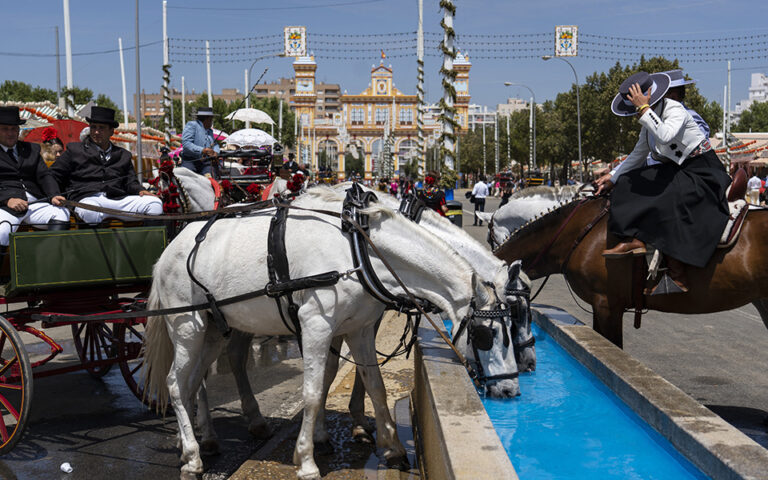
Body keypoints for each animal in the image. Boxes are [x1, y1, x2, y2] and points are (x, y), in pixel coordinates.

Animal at [143, 188, 516, 480]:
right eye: (485, 335)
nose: (510, 389)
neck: (361, 248)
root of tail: (167, 251)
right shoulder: (316, 326)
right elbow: (312, 391)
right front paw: (307, 458)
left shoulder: (360, 328)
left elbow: (375, 385)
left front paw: (392, 447)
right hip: (188, 326)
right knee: (176, 384)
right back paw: (193, 457)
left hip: (214, 329)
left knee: (194, 382)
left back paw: (194, 443)